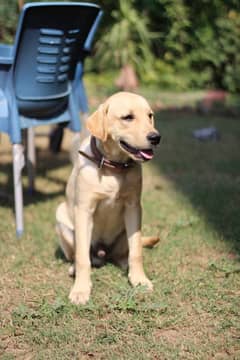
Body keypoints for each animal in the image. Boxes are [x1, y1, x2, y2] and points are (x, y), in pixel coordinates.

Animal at [56, 92, 160, 304]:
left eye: (150, 116)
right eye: (128, 117)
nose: (156, 137)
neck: (114, 168)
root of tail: (103, 252)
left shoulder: (133, 207)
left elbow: (136, 252)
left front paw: (139, 279)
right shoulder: (84, 210)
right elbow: (82, 258)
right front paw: (80, 289)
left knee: (125, 253)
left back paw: (124, 265)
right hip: (62, 220)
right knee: (79, 255)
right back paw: (75, 268)